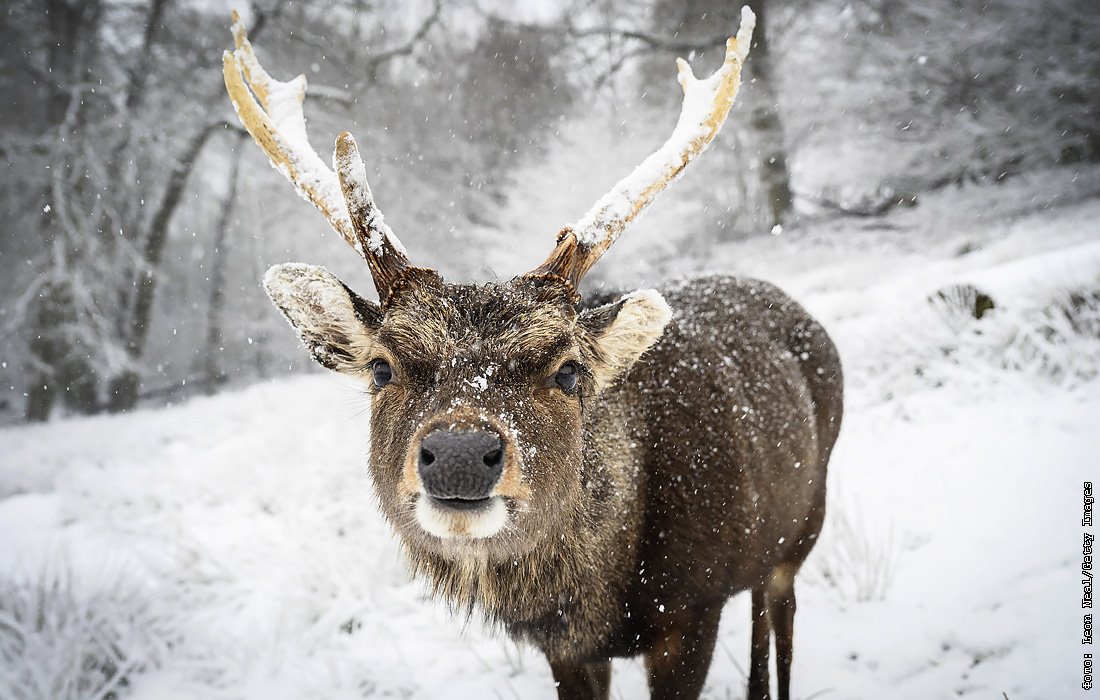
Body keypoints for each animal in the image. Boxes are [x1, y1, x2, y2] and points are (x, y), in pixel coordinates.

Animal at [223, 6, 840, 700]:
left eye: (569, 370)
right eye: (381, 367)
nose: (460, 455)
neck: (599, 599)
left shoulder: (693, 607)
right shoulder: (562, 647)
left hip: (805, 523)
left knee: (779, 613)